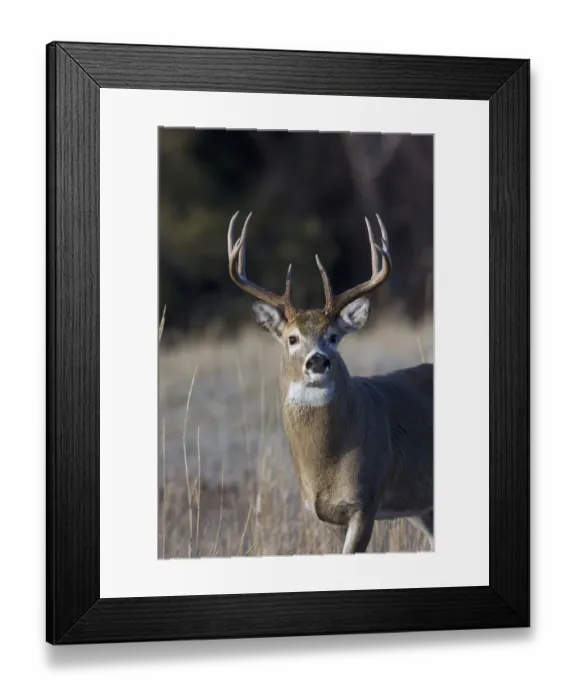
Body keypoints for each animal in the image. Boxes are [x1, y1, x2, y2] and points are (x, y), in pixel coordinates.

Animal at [227, 211, 433, 554]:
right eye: (292, 338)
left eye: (334, 337)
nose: (317, 361)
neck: (325, 466)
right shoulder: (324, 514)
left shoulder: (366, 500)